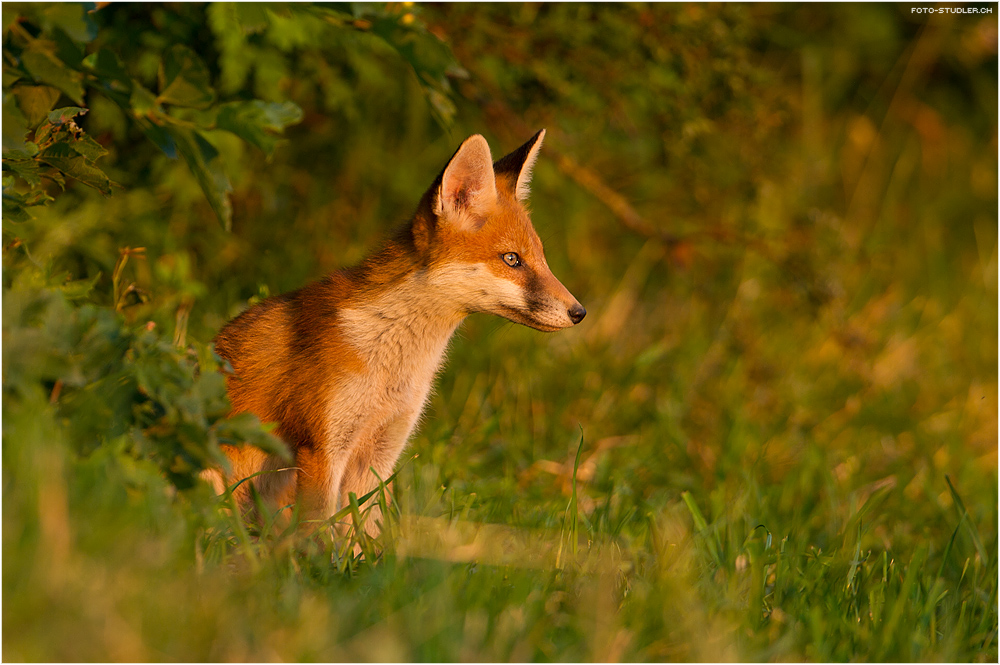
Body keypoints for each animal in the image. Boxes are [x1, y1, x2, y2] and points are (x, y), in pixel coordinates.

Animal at [209, 131, 584, 540]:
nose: (579, 312)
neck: (393, 366)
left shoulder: (379, 454)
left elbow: (363, 537)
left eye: (542, 258)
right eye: (512, 259)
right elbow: (320, 532)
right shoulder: (323, 446)